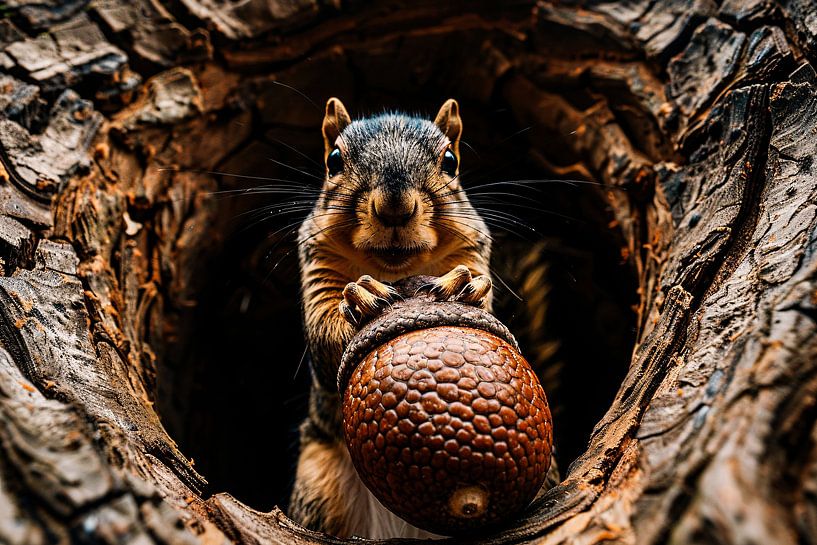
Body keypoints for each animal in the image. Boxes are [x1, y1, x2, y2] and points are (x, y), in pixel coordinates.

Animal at [288, 98, 493, 539]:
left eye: (450, 161)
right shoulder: (316, 264)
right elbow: (324, 337)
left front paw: (464, 285)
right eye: (333, 160)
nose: (394, 207)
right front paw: (363, 296)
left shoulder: (472, 246)